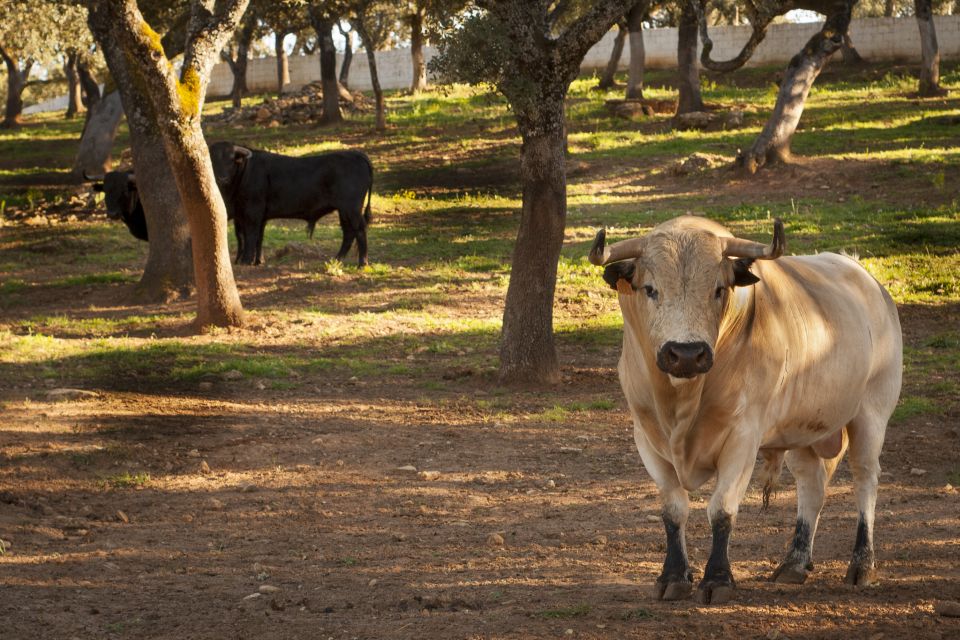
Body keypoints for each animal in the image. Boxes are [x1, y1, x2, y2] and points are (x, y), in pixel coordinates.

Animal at [588, 216, 904, 604]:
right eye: (650, 289)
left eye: (718, 289)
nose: (687, 354)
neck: (682, 405)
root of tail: (865, 278)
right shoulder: (646, 437)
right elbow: (673, 509)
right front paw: (673, 576)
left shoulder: (743, 436)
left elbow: (722, 509)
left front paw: (717, 580)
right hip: (801, 429)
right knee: (811, 485)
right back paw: (794, 562)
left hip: (872, 413)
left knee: (865, 479)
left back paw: (862, 564)